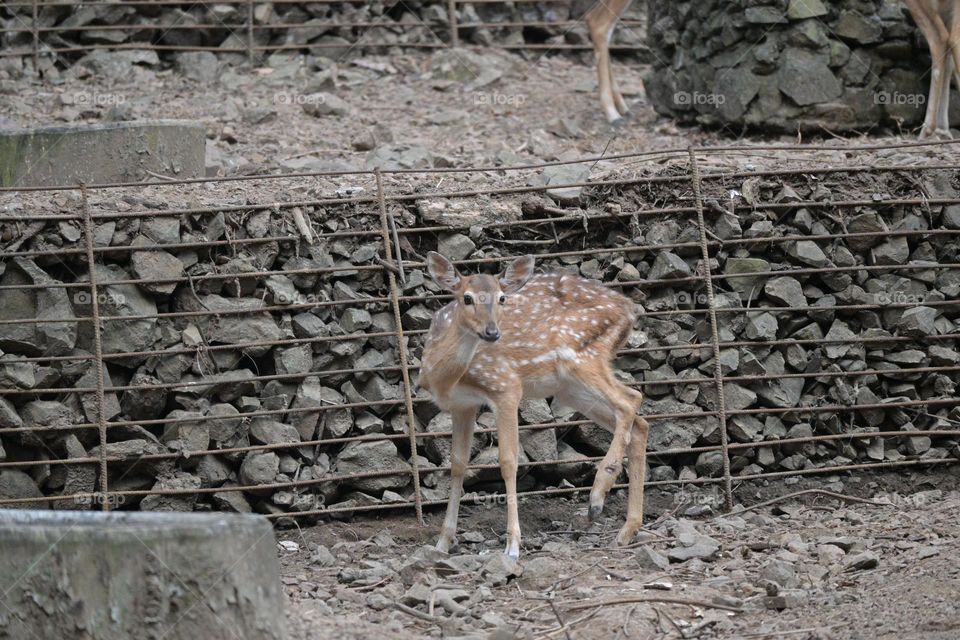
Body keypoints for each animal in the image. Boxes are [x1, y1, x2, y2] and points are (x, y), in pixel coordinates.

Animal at [418, 252, 650, 559]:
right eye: (466, 298)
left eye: (502, 298)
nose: (492, 332)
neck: (444, 376)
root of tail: (630, 309)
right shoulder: (462, 405)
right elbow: (457, 465)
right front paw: (443, 542)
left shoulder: (505, 386)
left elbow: (508, 461)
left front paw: (513, 545)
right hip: (570, 388)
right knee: (639, 421)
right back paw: (627, 530)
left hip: (582, 357)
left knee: (630, 400)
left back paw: (598, 495)